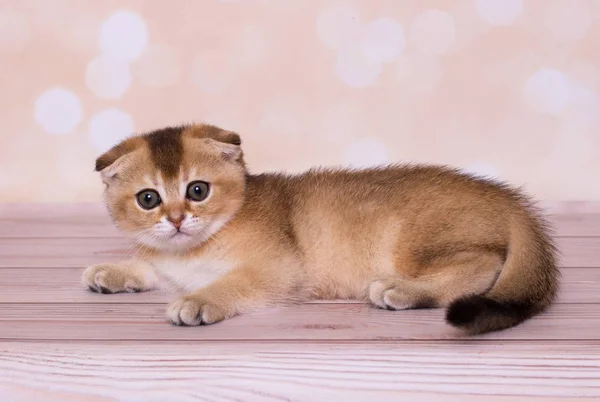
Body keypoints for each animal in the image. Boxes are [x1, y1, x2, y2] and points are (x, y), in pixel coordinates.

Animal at [82, 124, 560, 334]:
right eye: (148, 199)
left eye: (197, 190)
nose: (178, 219)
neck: (191, 251)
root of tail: (510, 199)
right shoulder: (168, 263)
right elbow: (149, 266)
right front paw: (109, 272)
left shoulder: (277, 269)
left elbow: (229, 285)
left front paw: (197, 302)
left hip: (417, 243)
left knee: (486, 262)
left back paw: (401, 290)